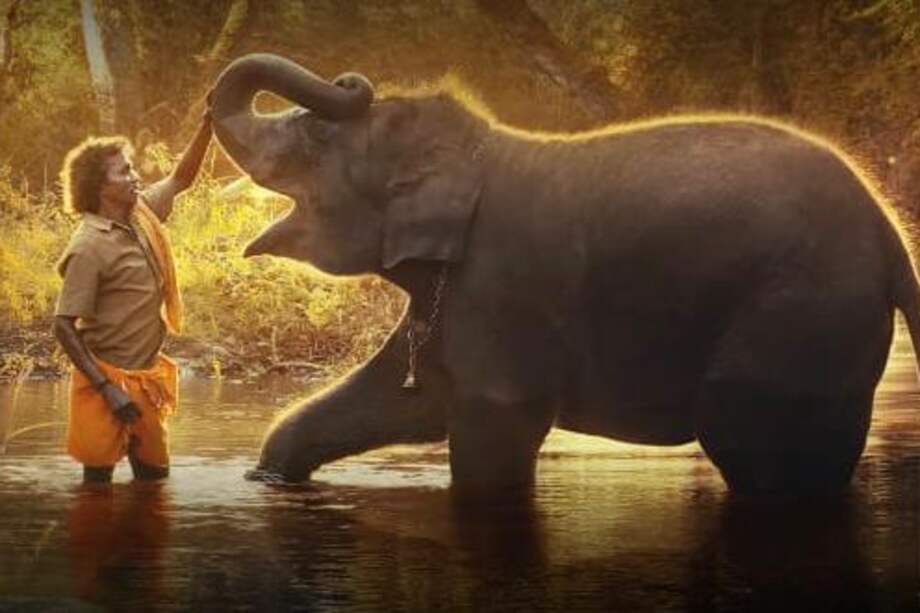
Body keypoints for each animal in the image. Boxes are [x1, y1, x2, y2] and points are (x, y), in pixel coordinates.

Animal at [208, 53, 920, 497]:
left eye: (317, 139)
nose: (352, 78)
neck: (477, 151)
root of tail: (891, 236)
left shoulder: (502, 284)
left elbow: (493, 427)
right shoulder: (458, 295)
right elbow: (404, 400)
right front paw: (270, 477)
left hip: (800, 311)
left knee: (747, 437)